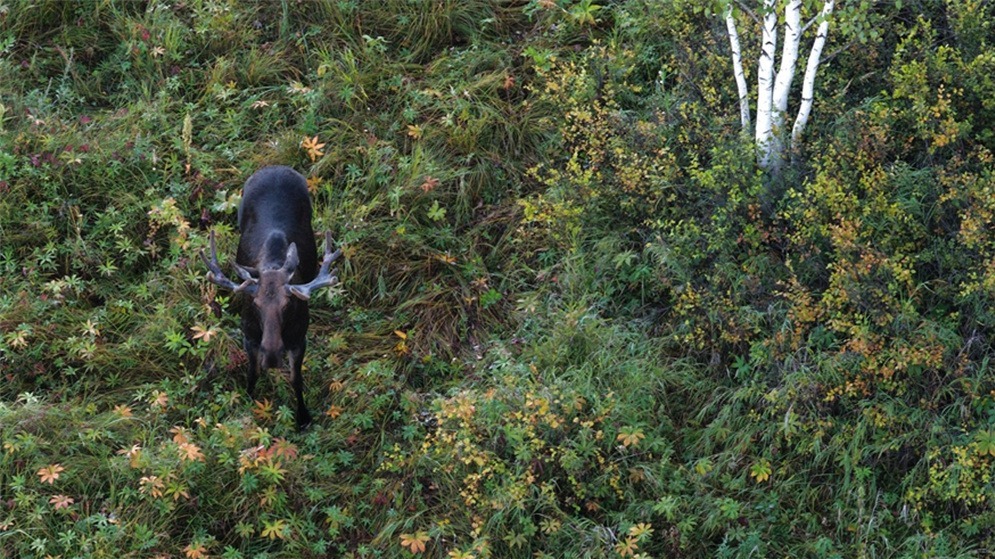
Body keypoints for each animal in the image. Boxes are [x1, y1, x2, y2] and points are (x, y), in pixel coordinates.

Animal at [202, 166, 341, 430]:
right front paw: (247, 401)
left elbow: (297, 379)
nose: (273, 354)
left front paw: (303, 417)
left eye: (288, 304)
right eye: (255, 304)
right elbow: (252, 372)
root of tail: (276, 168)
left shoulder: (299, 338)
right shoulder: (249, 335)